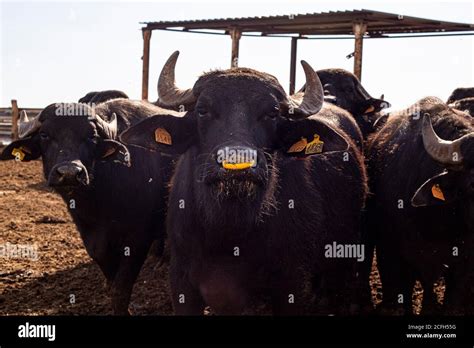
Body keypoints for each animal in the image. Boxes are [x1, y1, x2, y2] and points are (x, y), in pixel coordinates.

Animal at [0, 99, 178, 314]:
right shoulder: (94, 242)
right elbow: (111, 281)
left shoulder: (138, 240)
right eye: (44, 135)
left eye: (91, 136)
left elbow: (120, 288)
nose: (69, 173)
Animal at [120, 51, 368, 316]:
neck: (228, 231)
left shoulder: (291, 284)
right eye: (203, 110)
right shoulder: (182, 283)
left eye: (272, 113)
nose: (237, 162)